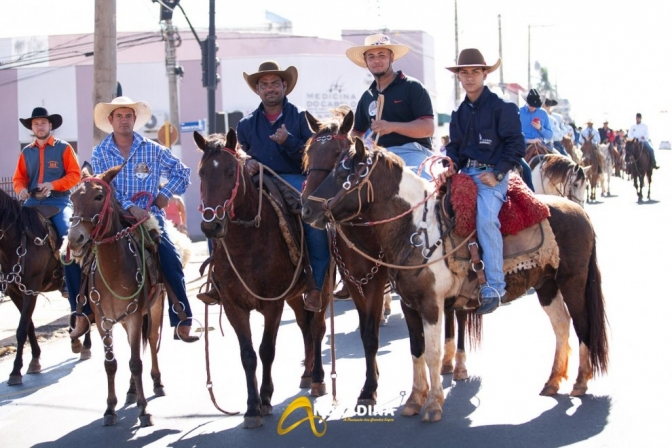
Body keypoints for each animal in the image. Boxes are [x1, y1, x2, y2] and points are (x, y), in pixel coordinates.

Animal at [0, 187, 92, 386]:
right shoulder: (15, 292)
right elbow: (28, 326)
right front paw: (34, 359)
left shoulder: (31, 289)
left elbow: (21, 329)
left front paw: (15, 371)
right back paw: (75, 340)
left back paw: (85, 346)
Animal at [66, 165, 165, 428]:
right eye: (72, 197)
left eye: (99, 196)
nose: (75, 239)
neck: (113, 268)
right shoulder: (103, 321)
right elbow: (111, 364)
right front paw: (110, 408)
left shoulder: (134, 318)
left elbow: (136, 362)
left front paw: (144, 410)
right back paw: (131, 391)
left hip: (155, 308)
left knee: (151, 341)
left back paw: (157, 382)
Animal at [194, 130, 328, 430]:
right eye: (201, 173)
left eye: (230, 172)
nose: (211, 225)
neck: (246, 243)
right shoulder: (233, 306)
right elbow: (248, 355)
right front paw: (251, 407)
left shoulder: (272, 304)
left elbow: (267, 350)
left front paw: (265, 399)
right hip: (294, 295)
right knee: (304, 326)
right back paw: (306, 374)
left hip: (321, 288)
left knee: (317, 328)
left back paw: (317, 379)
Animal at [302, 110, 480, 404]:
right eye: (309, 154)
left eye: (338, 155)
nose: (306, 207)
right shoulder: (352, 281)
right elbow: (353, 329)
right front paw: (324, 379)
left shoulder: (377, 282)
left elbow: (371, 334)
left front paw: (369, 387)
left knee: (461, 314)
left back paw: (459, 364)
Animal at [304, 139, 608, 424]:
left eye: (345, 172)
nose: (307, 210)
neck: (417, 229)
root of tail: (580, 212)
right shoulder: (409, 305)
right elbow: (416, 350)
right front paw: (414, 401)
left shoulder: (431, 305)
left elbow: (433, 353)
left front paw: (433, 405)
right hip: (547, 285)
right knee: (561, 326)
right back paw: (553, 381)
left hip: (573, 281)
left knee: (582, 324)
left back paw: (580, 382)